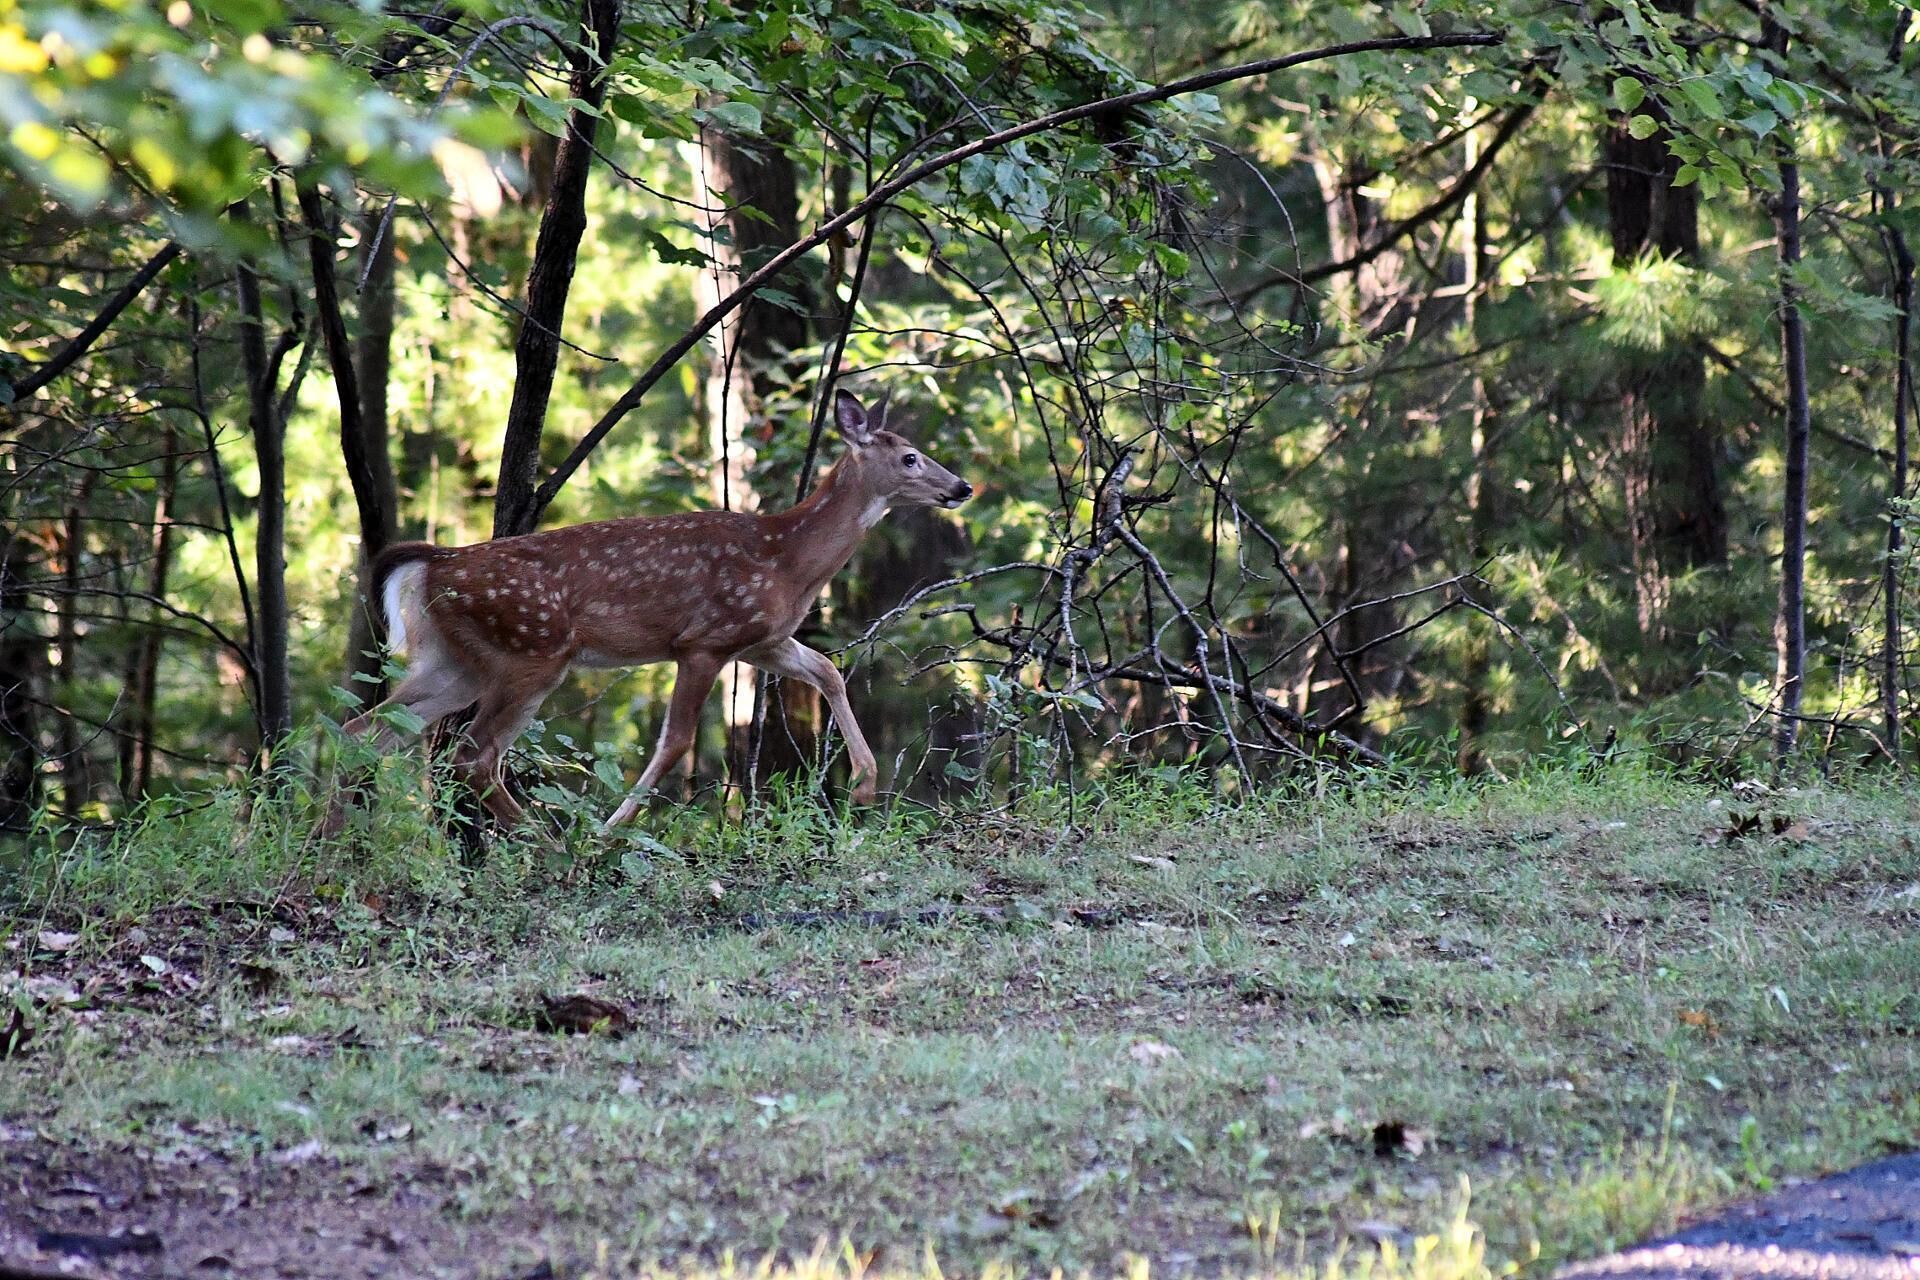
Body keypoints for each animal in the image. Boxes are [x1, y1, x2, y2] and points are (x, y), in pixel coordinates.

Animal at [326, 390, 971, 837]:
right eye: (911, 458)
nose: (962, 486)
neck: (786, 559)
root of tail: (433, 564)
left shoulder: (763, 640)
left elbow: (830, 672)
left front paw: (863, 786)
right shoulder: (704, 639)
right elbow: (676, 742)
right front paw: (613, 833)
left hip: (454, 661)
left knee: (365, 731)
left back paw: (327, 848)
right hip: (531, 652)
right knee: (473, 754)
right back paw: (555, 849)